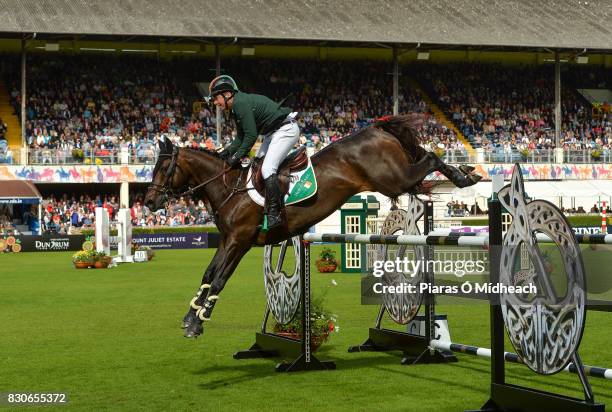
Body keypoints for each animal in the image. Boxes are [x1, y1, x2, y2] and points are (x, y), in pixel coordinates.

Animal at [145, 115, 482, 338]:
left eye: (163, 168)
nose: (148, 202)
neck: (230, 189)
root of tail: (376, 129)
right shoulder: (228, 240)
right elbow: (208, 275)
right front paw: (190, 316)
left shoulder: (239, 241)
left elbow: (218, 280)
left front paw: (199, 321)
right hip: (394, 180)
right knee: (424, 161)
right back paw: (465, 174)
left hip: (394, 179)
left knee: (430, 157)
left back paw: (465, 176)